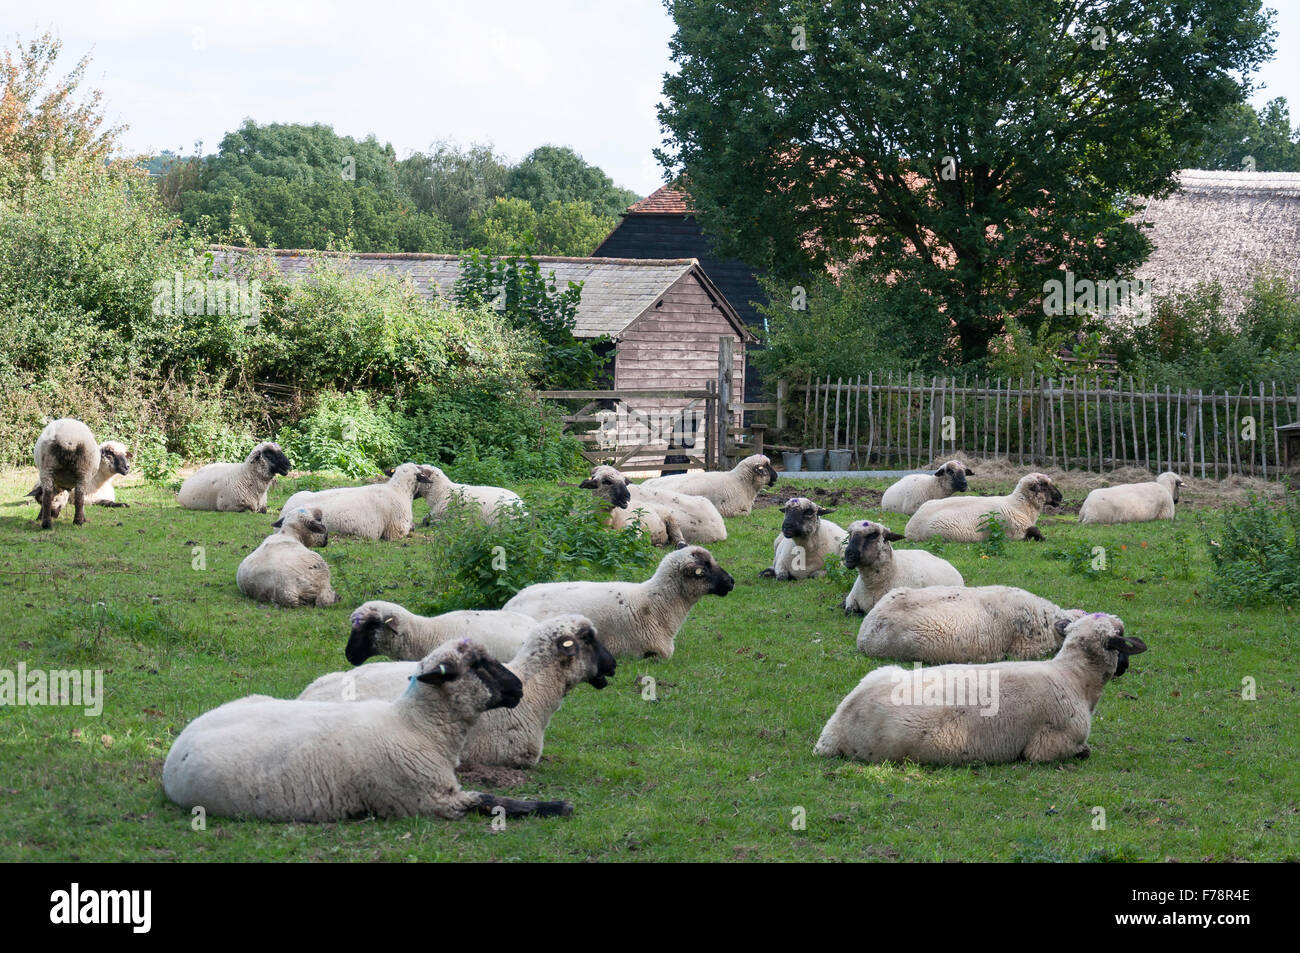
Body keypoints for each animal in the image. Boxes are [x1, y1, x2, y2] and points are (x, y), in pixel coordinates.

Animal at [163, 638, 573, 821]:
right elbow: (490, 800)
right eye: (476, 665)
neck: (418, 727)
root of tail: (178, 746)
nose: (519, 688)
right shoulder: (430, 800)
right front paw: (554, 805)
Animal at [579, 465, 726, 547]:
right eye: (606, 481)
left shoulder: (634, 531)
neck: (610, 519)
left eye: (624, 481)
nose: (627, 496)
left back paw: (679, 545)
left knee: (679, 538)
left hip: (672, 520)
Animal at [814, 613, 1146, 765]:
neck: (1073, 677)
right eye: (1121, 638)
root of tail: (834, 730)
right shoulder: (1048, 746)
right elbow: (1080, 751)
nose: (1125, 667)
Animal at [904, 472, 1063, 542]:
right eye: (1044, 484)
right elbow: (1035, 532)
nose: (1060, 497)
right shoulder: (1015, 533)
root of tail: (910, 527)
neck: (1018, 506)